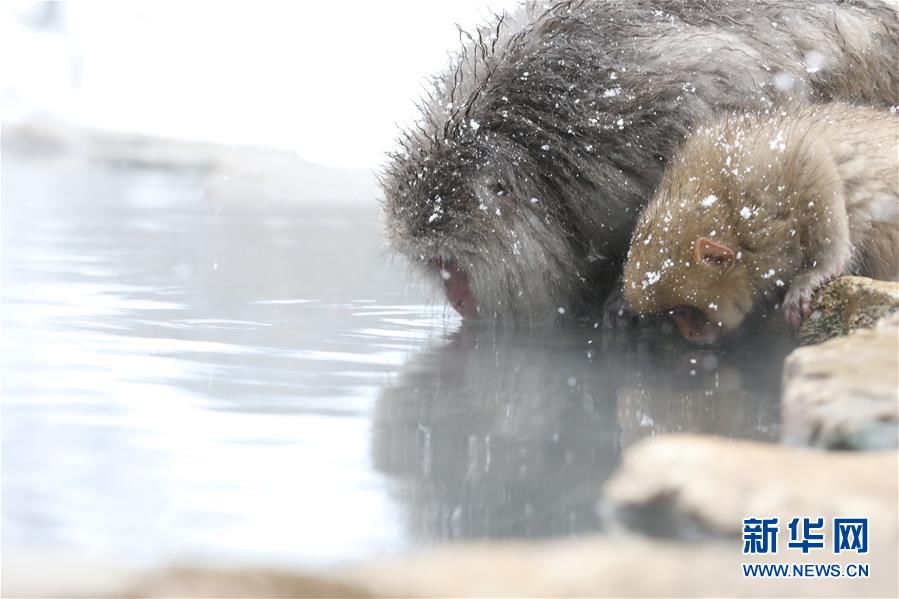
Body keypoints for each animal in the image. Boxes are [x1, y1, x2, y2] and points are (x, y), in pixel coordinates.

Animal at [624, 105, 899, 344]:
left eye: (683, 311)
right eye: (673, 314)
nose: (689, 334)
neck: (730, 218)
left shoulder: (765, 175)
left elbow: (812, 160)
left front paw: (817, 272)